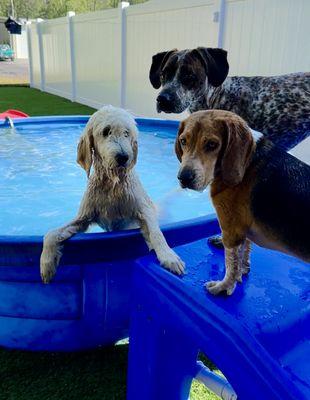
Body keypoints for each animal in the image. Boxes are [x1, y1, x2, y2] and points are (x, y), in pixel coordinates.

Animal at [38, 104, 184, 282]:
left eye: (127, 133)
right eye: (106, 131)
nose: (123, 157)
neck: (112, 185)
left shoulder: (144, 211)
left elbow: (156, 233)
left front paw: (168, 256)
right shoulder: (83, 218)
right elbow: (51, 233)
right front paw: (46, 263)